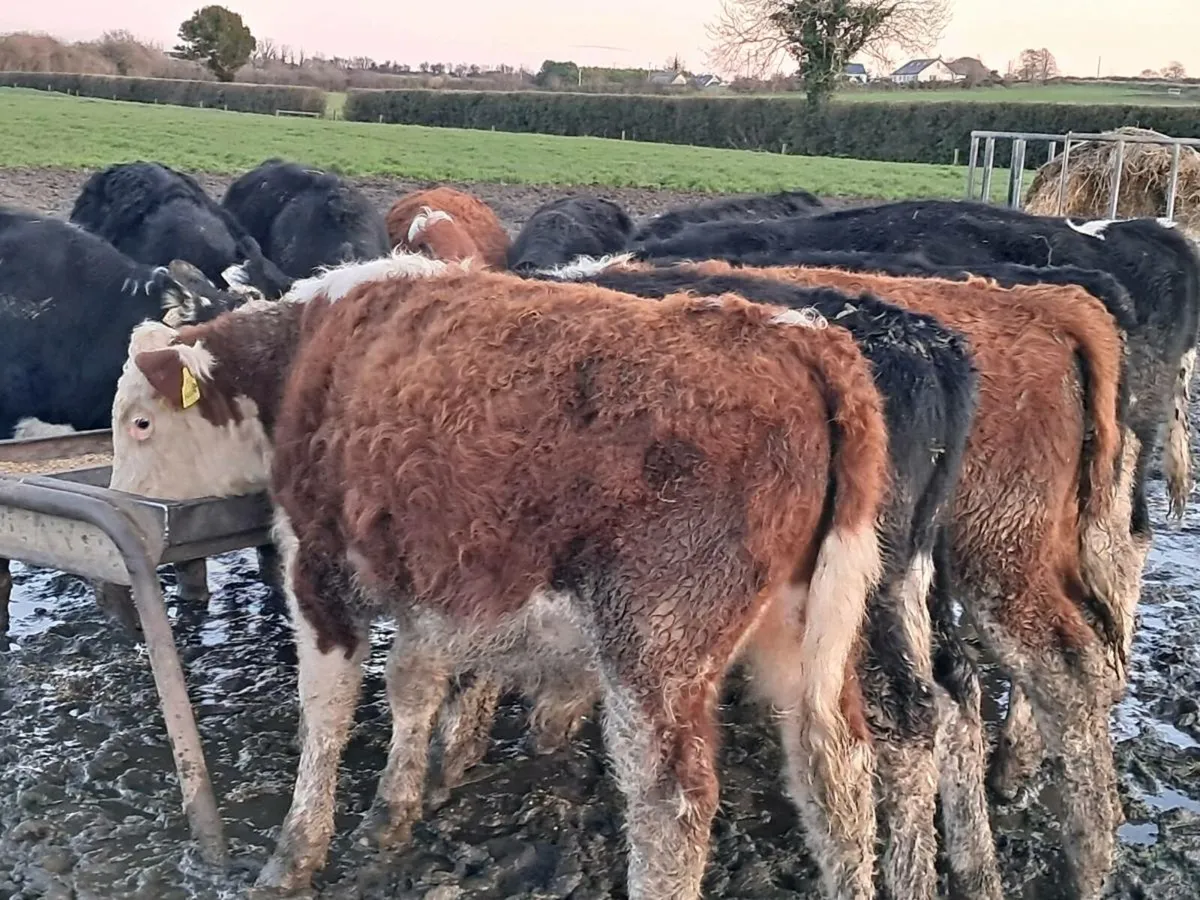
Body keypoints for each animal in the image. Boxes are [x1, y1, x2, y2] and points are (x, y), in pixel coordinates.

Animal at [109, 251, 892, 900]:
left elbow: (325, 713)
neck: (306, 354)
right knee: (839, 773)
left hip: (657, 650)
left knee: (672, 806)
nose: (119, 534)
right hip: (802, 632)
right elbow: (414, 686)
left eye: (140, 424)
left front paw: (294, 856)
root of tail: (795, 338)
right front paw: (397, 809)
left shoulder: (320, 566)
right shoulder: (432, 583)